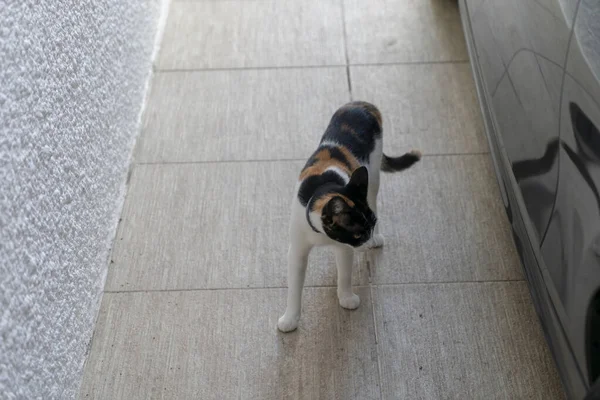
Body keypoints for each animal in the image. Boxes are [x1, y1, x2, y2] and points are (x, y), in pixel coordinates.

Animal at [278, 101, 422, 332]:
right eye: (358, 234)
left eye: (370, 226)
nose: (368, 240)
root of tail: (362, 104)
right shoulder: (298, 248)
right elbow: (294, 286)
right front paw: (290, 319)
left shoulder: (344, 248)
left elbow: (345, 274)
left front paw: (346, 297)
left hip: (372, 174)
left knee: (373, 196)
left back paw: (377, 239)